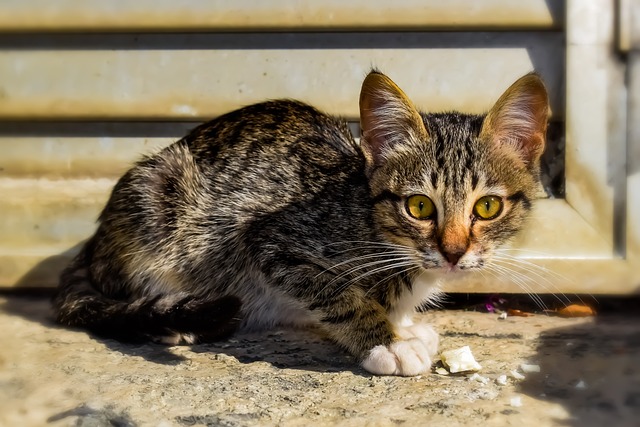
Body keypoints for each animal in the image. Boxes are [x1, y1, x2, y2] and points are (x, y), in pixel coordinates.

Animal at [52, 71, 548, 378]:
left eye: (487, 208)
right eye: (420, 207)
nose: (453, 252)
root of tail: (93, 244)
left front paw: (403, 324)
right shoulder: (268, 237)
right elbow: (338, 293)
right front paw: (385, 340)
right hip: (156, 204)